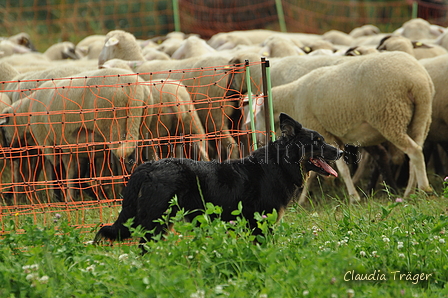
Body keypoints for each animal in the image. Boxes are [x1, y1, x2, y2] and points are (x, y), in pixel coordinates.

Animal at [6, 68, 154, 201]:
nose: (9, 156)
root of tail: (135, 88)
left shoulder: (49, 143)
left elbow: (59, 170)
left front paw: (61, 198)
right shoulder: (70, 147)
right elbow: (73, 172)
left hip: (115, 127)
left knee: (126, 161)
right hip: (141, 127)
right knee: (141, 159)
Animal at [93, 113, 340, 246]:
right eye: (317, 142)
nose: (340, 151)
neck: (280, 165)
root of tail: (147, 166)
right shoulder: (261, 226)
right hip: (156, 221)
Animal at [266, 52, 434, 204]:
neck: (293, 98)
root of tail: (417, 79)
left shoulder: (324, 132)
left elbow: (341, 169)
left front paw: (354, 197)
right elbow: (314, 170)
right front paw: (302, 200)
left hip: (390, 116)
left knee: (414, 151)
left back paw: (423, 189)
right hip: (422, 117)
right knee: (416, 152)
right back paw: (410, 192)